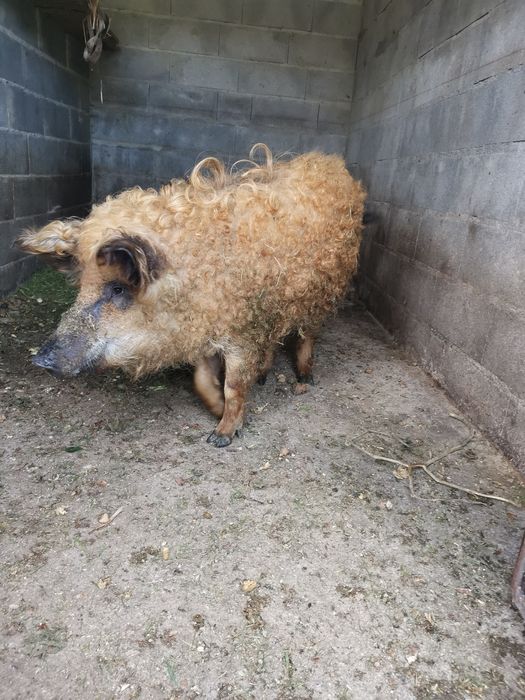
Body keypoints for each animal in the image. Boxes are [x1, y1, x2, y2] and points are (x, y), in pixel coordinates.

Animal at [18, 144, 366, 447]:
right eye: (81, 286)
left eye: (118, 288)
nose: (39, 359)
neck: (192, 278)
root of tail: (332, 163)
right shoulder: (204, 327)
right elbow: (201, 380)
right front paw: (216, 411)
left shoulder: (240, 332)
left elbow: (234, 385)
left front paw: (221, 438)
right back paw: (263, 377)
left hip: (322, 291)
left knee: (308, 334)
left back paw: (305, 379)